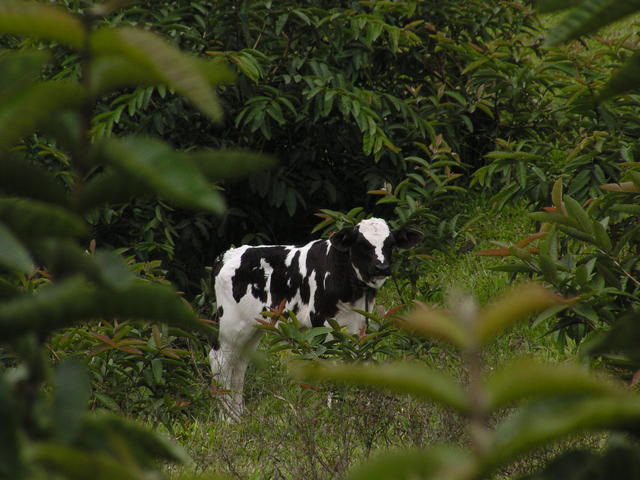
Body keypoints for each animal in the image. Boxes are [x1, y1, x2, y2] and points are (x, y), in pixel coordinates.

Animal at [208, 217, 422, 418]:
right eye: (362, 244)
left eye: (390, 243)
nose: (381, 267)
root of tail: (229, 254)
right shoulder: (322, 322)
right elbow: (331, 363)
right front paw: (334, 412)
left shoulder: (359, 323)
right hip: (232, 324)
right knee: (220, 359)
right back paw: (227, 418)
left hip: (255, 326)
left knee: (239, 363)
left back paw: (238, 417)